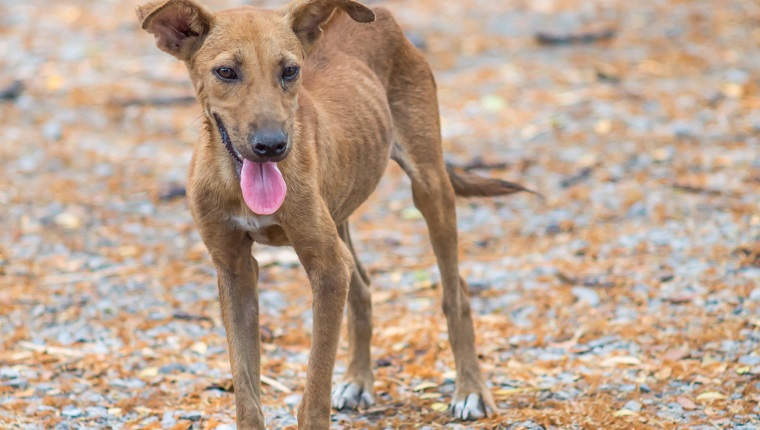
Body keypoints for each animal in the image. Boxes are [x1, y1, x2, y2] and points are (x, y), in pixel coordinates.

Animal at [135, 1, 528, 428]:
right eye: (226, 72)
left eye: (290, 71)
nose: (272, 146)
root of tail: (384, 13)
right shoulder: (234, 269)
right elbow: (246, 387)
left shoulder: (326, 268)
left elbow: (316, 381)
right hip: (341, 212)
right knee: (363, 286)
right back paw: (357, 381)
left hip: (429, 186)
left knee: (456, 293)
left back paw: (470, 390)